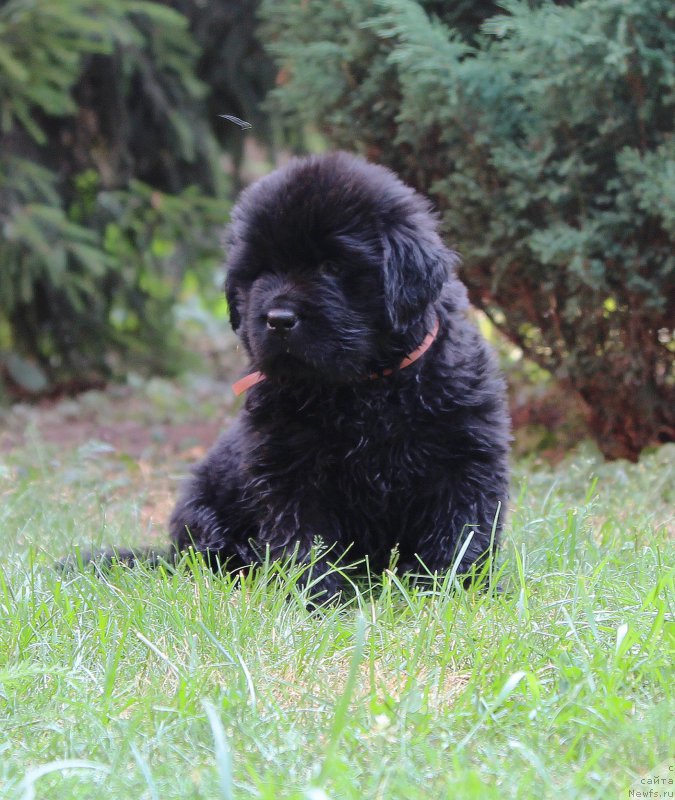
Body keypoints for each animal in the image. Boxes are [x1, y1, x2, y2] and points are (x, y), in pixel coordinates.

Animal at [165, 153, 512, 596]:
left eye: (331, 266)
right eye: (260, 270)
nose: (278, 319)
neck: (368, 386)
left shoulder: (464, 452)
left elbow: (462, 525)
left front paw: (450, 587)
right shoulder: (289, 463)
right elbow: (302, 536)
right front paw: (314, 595)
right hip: (201, 501)